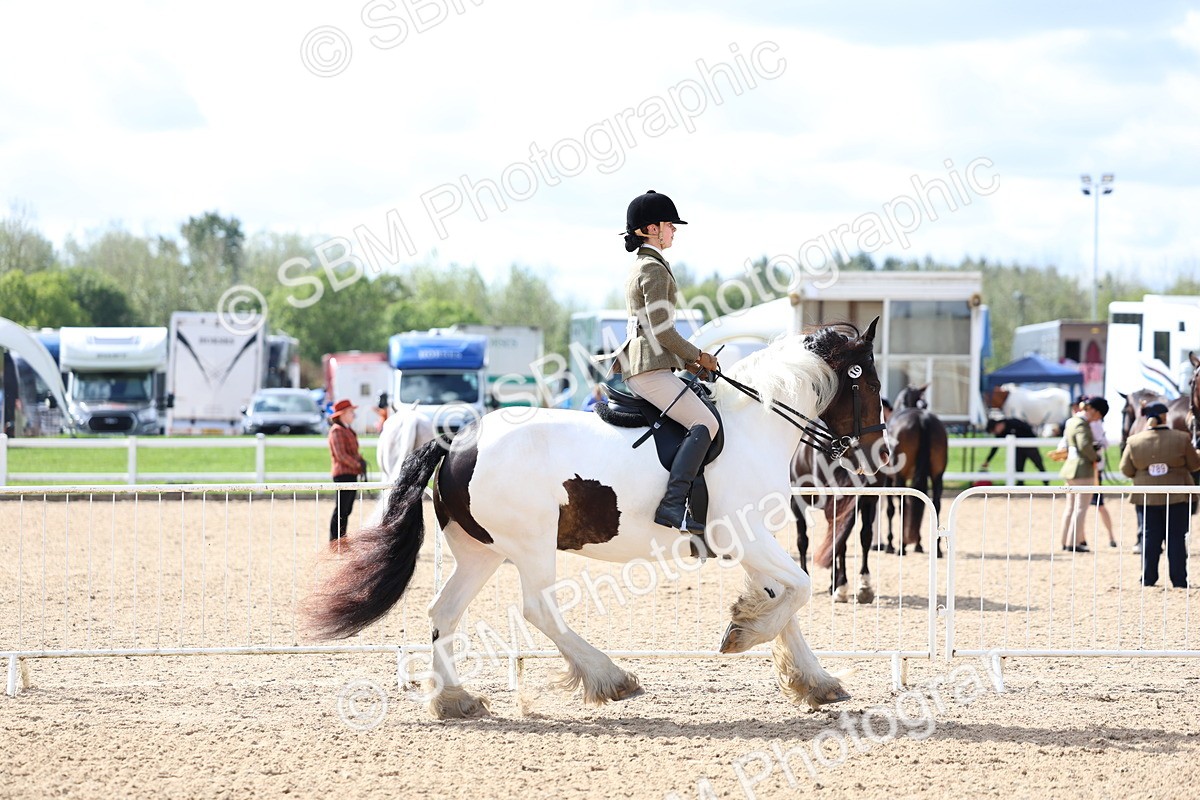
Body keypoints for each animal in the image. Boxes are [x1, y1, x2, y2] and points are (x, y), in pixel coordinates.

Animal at [304, 322, 887, 719]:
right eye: (868, 383)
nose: (876, 452)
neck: (754, 423)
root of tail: (457, 440)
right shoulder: (744, 535)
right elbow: (799, 590)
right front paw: (743, 634)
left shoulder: (751, 541)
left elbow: (786, 602)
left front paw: (811, 678)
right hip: (531, 544)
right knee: (539, 609)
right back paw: (610, 677)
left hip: (480, 552)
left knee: (443, 611)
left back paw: (453, 699)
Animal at [883, 384, 948, 556]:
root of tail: (922, 419)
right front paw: (918, 543)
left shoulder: (888, 479)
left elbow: (891, 509)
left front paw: (890, 544)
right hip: (937, 476)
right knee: (935, 504)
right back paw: (937, 549)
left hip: (899, 477)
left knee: (902, 506)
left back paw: (901, 546)